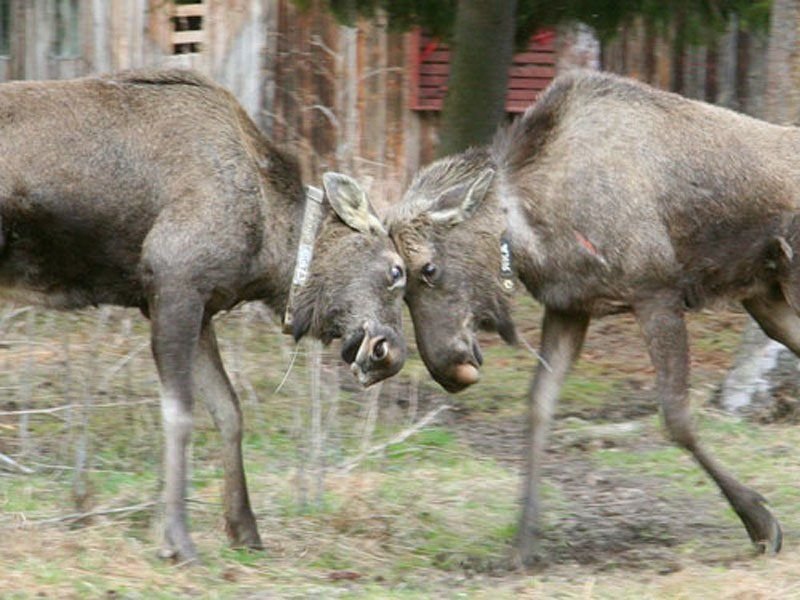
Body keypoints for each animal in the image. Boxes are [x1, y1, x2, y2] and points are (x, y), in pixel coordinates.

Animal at [0, 70, 410, 564]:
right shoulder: (175, 282)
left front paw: (244, 528)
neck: (268, 245)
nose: (391, 353)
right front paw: (176, 539)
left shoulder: (201, 309)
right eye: (396, 270)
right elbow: (180, 415)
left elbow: (229, 412)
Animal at [388, 71, 792, 568]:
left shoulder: (656, 292)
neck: (534, 231)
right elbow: (539, 406)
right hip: (766, 298)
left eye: (428, 268)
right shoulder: (569, 308)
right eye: (398, 284)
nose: (447, 368)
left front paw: (759, 520)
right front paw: (523, 541)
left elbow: (676, 416)